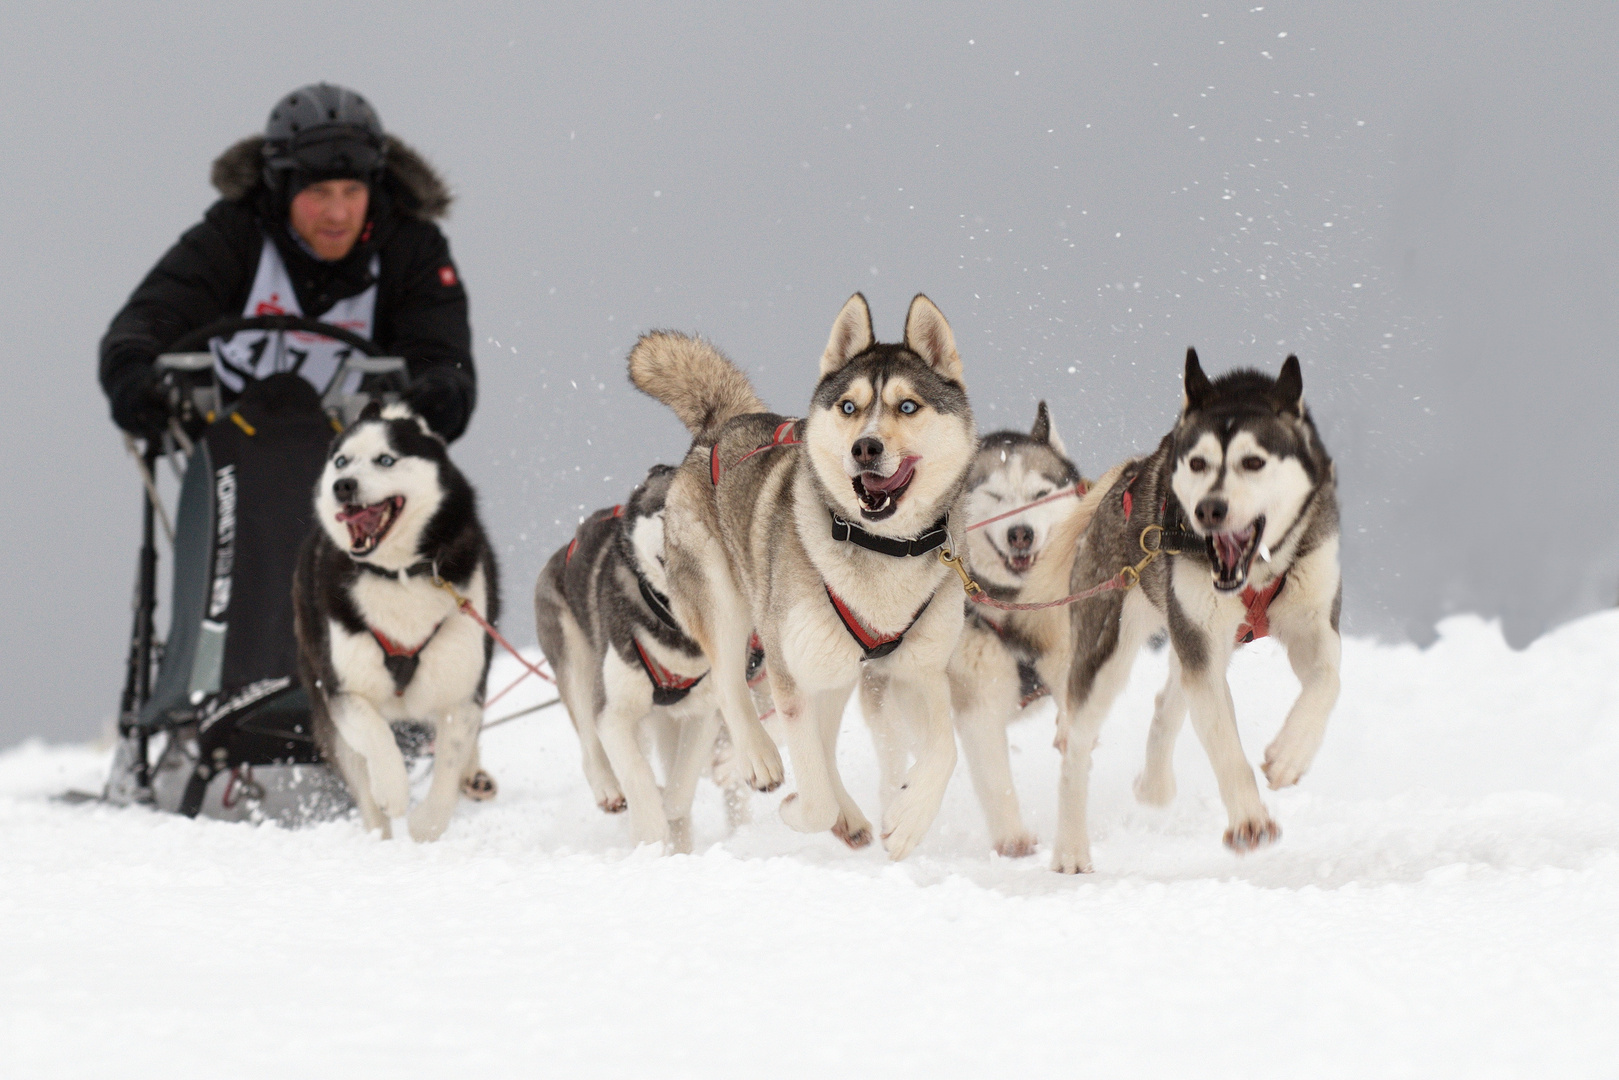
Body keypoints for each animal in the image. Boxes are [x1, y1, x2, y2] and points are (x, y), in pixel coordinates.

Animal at [289, 401, 492, 841]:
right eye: (341, 460)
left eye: (386, 460)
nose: (343, 485)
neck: (397, 573)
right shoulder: (342, 689)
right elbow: (376, 736)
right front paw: (393, 790)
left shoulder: (462, 690)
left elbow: (450, 759)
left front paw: (426, 825)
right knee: (360, 779)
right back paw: (378, 832)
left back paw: (474, 776)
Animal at [534, 466, 754, 854]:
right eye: (666, 511)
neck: (677, 630)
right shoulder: (614, 712)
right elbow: (637, 775)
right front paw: (650, 835)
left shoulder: (705, 711)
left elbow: (683, 780)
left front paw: (670, 807)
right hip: (576, 664)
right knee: (590, 744)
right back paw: (608, 788)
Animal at [631, 296, 971, 861]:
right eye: (850, 407)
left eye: (908, 407)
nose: (865, 448)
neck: (878, 547)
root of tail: (724, 424)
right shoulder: (788, 663)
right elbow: (812, 793)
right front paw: (799, 810)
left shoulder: (919, 670)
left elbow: (944, 748)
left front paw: (907, 819)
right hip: (728, 605)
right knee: (727, 682)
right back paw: (760, 758)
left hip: (835, 667)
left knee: (824, 739)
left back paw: (851, 816)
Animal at [861, 401, 1087, 854]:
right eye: (994, 497)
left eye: (1040, 494)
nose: (1021, 533)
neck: (1013, 607)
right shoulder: (978, 706)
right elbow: (996, 782)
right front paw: (1015, 844)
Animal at [1049, 351, 1340, 874]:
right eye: (1198, 463)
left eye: (1253, 462)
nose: (1209, 509)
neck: (1257, 572)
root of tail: (1128, 473)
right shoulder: (1200, 637)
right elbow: (1223, 741)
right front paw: (1249, 821)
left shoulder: (1314, 621)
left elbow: (1327, 681)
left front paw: (1290, 755)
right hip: (1110, 647)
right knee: (1078, 745)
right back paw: (1070, 849)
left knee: (1171, 699)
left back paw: (1154, 785)